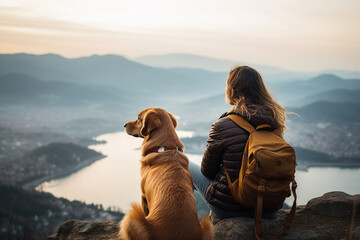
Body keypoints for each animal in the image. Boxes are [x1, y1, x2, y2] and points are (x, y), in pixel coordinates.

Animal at [118, 107, 214, 240]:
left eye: (139, 118)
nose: (124, 124)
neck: (164, 147)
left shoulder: (143, 195)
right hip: (207, 227)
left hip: (132, 217)